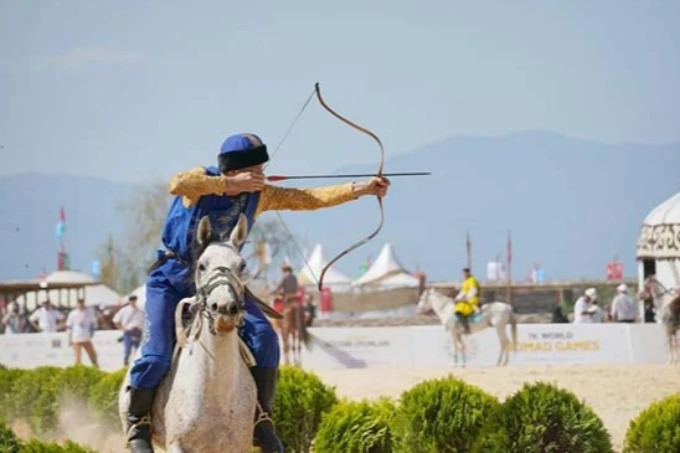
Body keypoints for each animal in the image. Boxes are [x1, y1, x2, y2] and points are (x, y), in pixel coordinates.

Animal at [119, 215, 282, 452]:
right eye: (203, 265)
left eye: (242, 265)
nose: (224, 308)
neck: (216, 392)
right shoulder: (176, 444)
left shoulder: (237, 446)